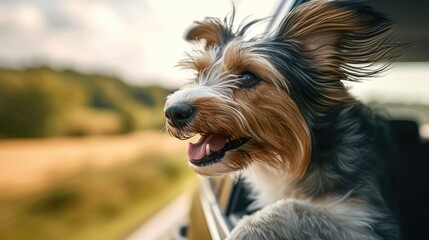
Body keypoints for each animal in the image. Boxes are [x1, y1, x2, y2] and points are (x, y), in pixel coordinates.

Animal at [162, 0, 402, 239]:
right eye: (199, 74)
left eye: (247, 76)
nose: (174, 112)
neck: (308, 153)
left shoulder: (368, 223)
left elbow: (290, 206)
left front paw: (243, 229)